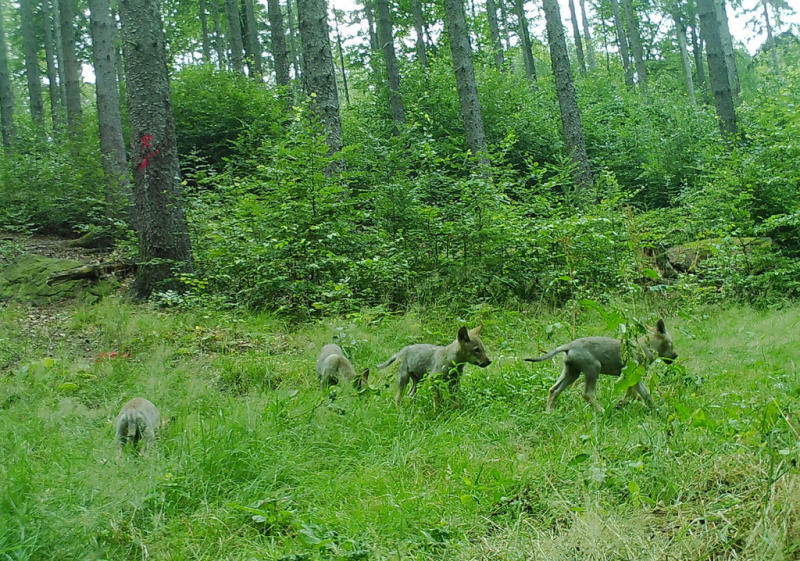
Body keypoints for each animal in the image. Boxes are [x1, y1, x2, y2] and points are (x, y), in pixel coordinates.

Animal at [525, 319, 678, 412]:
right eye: (671, 343)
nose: (676, 356)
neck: (645, 346)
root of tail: (569, 346)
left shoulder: (633, 378)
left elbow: (639, 394)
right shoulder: (631, 375)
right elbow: (640, 393)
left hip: (572, 373)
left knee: (553, 390)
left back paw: (549, 412)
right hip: (593, 369)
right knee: (587, 394)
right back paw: (602, 411)